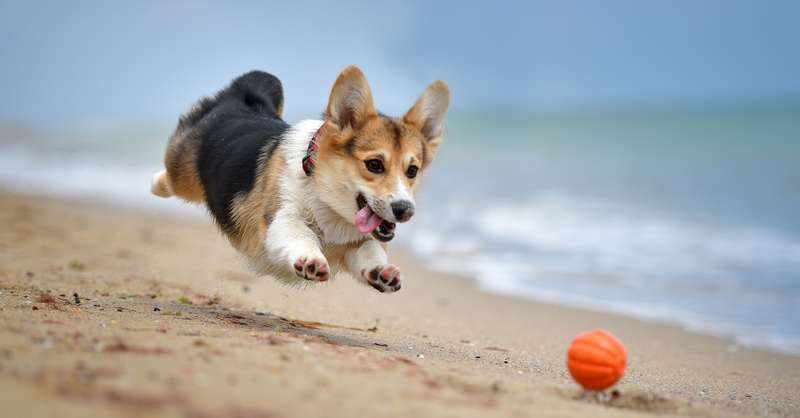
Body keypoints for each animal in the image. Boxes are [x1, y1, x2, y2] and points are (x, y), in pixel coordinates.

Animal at [152, 67, 450, 292]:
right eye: (374, 164)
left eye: (412, 170)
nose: (405, 210)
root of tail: (241, 97)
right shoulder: (279, 217)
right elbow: (300, 233)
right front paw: (311, 259)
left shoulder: (357, 243)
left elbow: (370, 251)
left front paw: (383, 271)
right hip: (183, 174)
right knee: (169, 176)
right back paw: (155, 184)